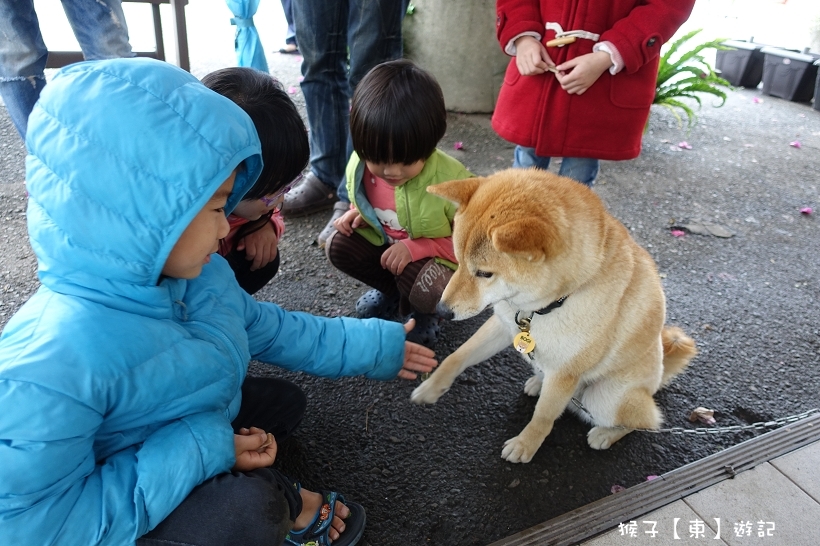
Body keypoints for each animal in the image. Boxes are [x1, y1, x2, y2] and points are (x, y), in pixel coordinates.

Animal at [414, 168, 696, 462]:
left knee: (646, 422)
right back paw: (538, 382)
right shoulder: (504, 324)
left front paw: (525, 445)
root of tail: (658, 377)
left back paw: (605, 434)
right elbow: (458, 356)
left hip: (605, 397)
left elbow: (544, 416)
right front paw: (431, 386)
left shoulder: (565, 371)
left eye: (484, 273)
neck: (545, 307)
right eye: (457, 260)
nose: (441, 309)